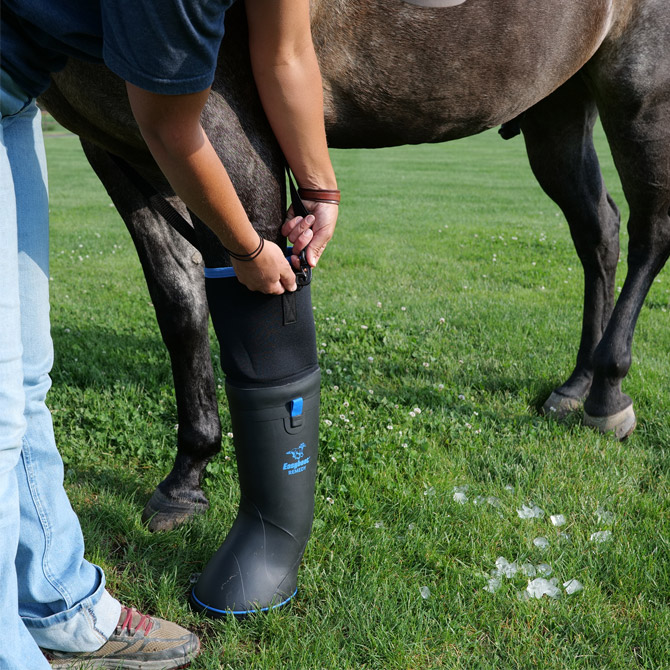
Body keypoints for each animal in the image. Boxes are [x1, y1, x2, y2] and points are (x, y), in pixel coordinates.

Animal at [39, 0, 670, 531]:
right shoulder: (120, 143)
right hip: (558, 104)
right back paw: (577, 382)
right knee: (598, 231)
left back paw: (608, 391)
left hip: (640, 88)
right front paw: (186, 477)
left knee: (650, 233)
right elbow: (180, 304)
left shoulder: (224, 125)